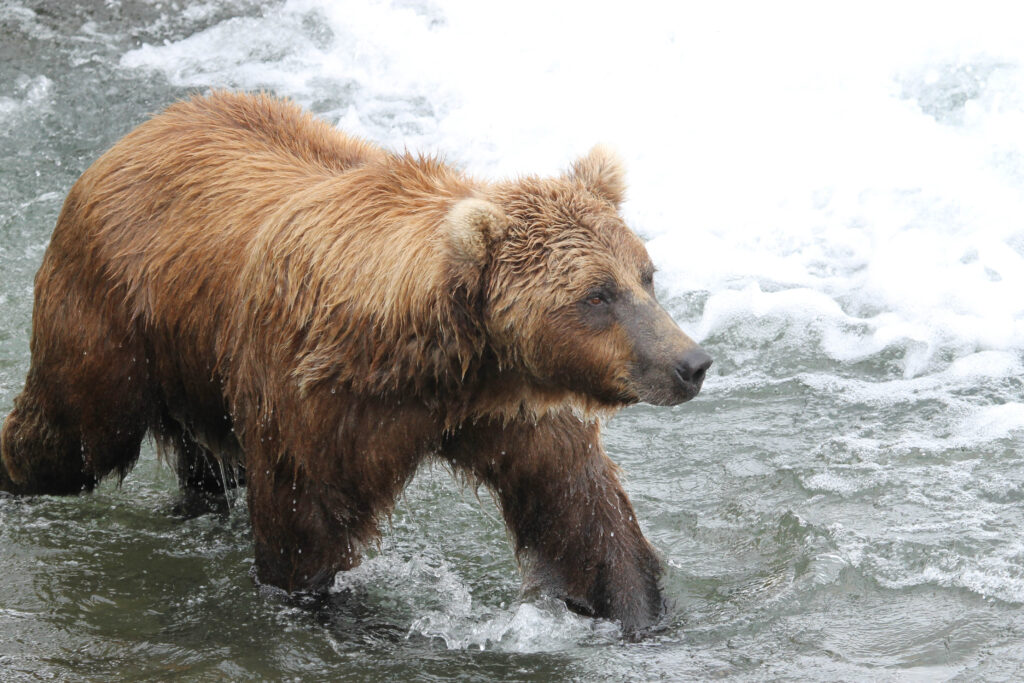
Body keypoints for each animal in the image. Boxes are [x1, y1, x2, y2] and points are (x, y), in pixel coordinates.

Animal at [0, 91, 711, 633]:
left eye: (646, 276)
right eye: (596, 294)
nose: (691, 362)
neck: (438, 366)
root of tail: (130, 138)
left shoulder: (516, 407)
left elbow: (584, 517)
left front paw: (639, 615)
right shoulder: (314, 405)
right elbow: (303, 541)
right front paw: (347, 611)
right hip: (110, 327)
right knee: (68, 433)